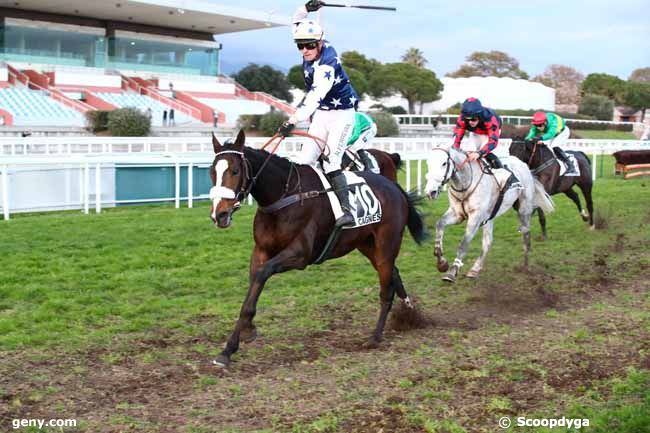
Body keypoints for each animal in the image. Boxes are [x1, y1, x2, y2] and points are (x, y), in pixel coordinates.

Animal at [209, 130, 430, 366]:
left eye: (235, 171)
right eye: (212, 171)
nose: (219, 214)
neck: (284, 196)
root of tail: (394, 187)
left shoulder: (300, 255)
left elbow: (262, 274)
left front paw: (244, 332)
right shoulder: (260, 251)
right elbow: (252, 289)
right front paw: (230, 347)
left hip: (386, 244)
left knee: (386, 290)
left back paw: (375, 336)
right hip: (367, 244)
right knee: (394, 273)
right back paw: (410, 313)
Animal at [426, 145, 552, 282]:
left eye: (444, 163)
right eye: (428, 163)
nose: (430, 192)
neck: (466, 184)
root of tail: (526, 167)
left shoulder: (475, 218)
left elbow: (464, 244)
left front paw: (452, 272)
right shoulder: (457, 214)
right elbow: (440, 224)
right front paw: (441, 262)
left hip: (523, 209)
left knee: (526, 236)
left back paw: (525, 266)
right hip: (490, 217)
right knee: (488, 241)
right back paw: (475, 269)